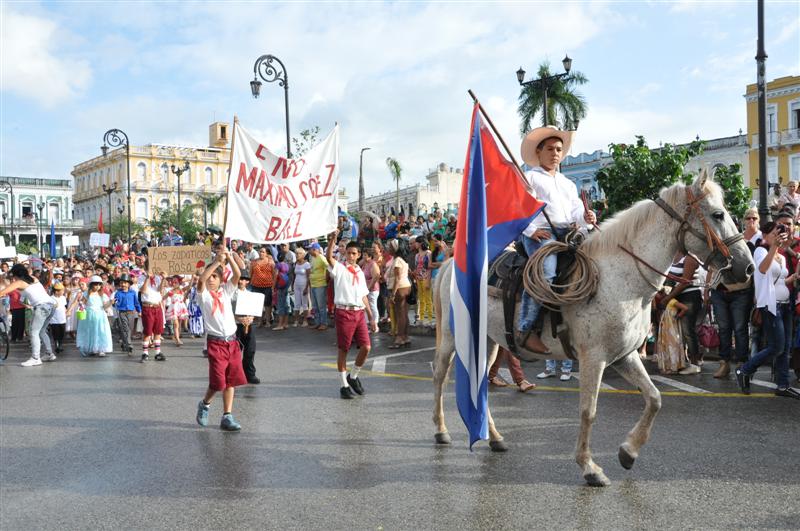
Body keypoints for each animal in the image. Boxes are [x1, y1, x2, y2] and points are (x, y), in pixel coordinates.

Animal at [434, 175, 752, 486]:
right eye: (718, 214)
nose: (747, 268)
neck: (620, 279)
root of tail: (450, 262)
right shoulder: (593, 358)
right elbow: (589, 411)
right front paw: (589, 467)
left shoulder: (624, 355)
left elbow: (654, 399)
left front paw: (628, 452)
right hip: (452, 337)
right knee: (439, 377)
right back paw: (442, 431)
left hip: (489, 342)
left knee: (482, 384)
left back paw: (495, 438)